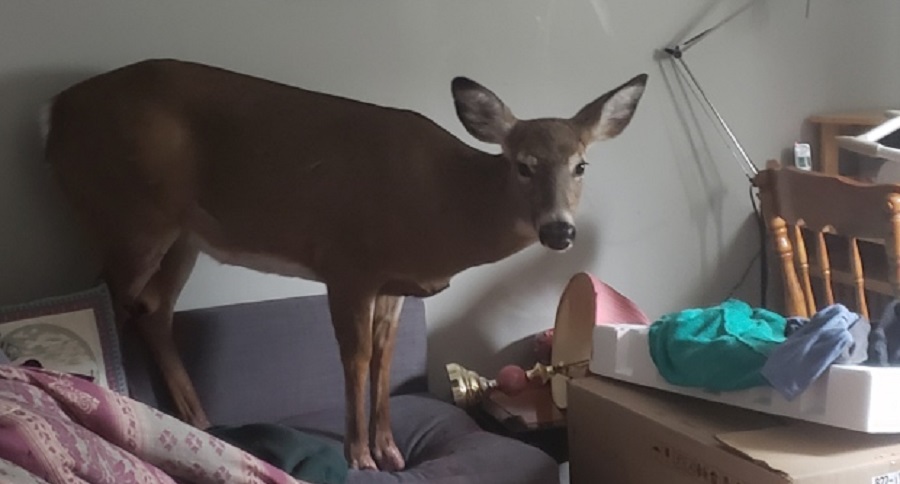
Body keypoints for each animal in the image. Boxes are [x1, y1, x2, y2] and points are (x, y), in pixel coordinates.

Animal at [42, 59, 647, 471]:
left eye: (581, 165)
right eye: (522, 164)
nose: (559, 230)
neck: (440, 205)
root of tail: (55, 114)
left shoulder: (394, 281)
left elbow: (383, 359)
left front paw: (391, 450)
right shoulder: (347, 262)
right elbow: (354, 359)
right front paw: (360, 457)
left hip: (182, 236)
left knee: (153, 309)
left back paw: (200, 423)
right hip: (128, 216)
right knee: (108, 300)